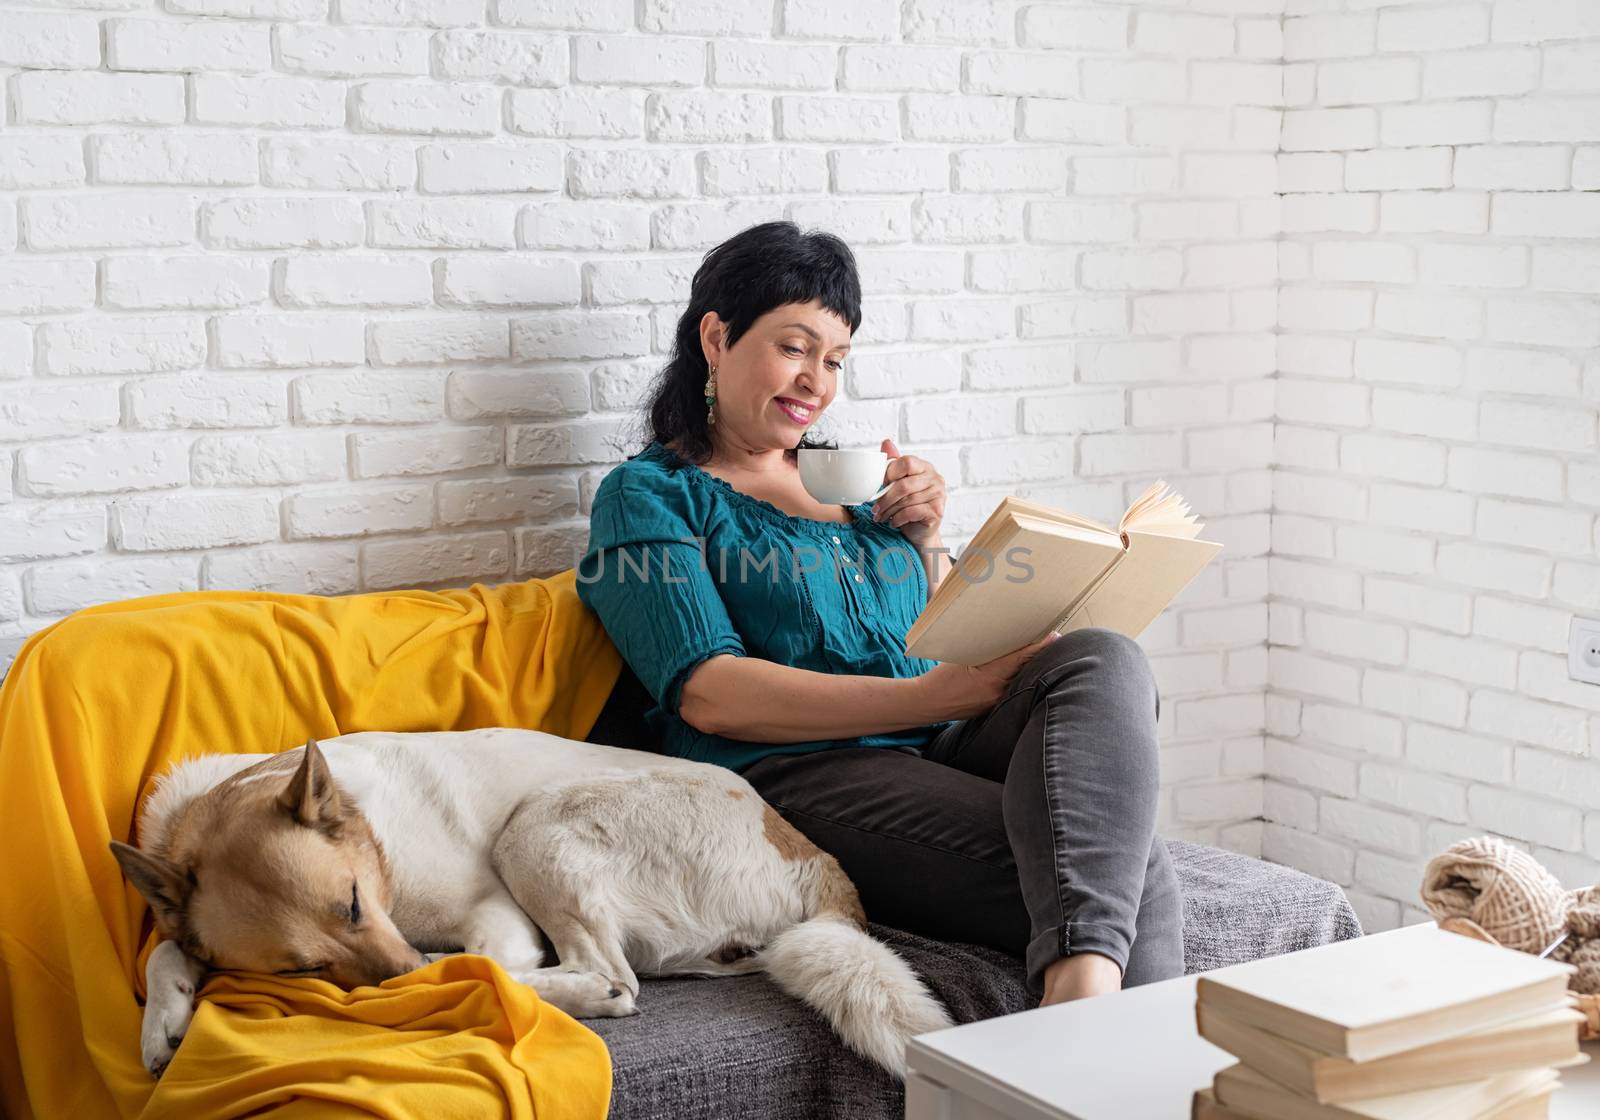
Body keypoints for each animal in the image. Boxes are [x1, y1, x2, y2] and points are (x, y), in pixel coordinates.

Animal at [112, 729, 953, 1081]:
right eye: (300, 969)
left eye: (352, 903)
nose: (398, 976)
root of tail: (811, 859)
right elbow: (166, 946)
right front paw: (165, 1020)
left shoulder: (493, 910)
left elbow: (486, 963)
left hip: (538, 826)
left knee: (611, 975)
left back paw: (587, 992)